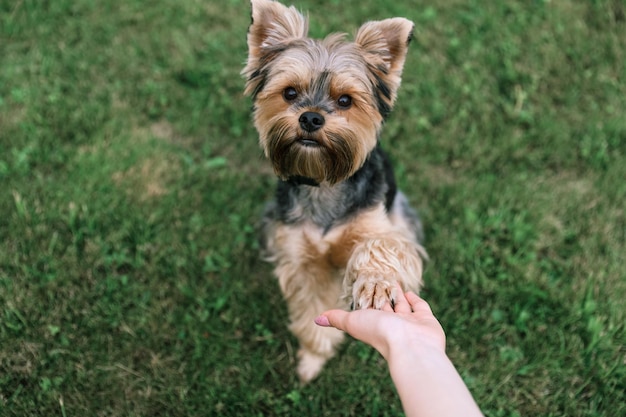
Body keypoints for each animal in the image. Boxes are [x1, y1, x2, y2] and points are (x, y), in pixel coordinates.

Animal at [241, 0, 426, 384]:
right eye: (290, 93)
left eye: (345, 100)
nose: (311, 118)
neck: (324, 181)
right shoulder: (302, 258)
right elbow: (311, 306)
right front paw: (313, 356)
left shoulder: (382, 226)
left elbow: (381, 246)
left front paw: (376, 283)